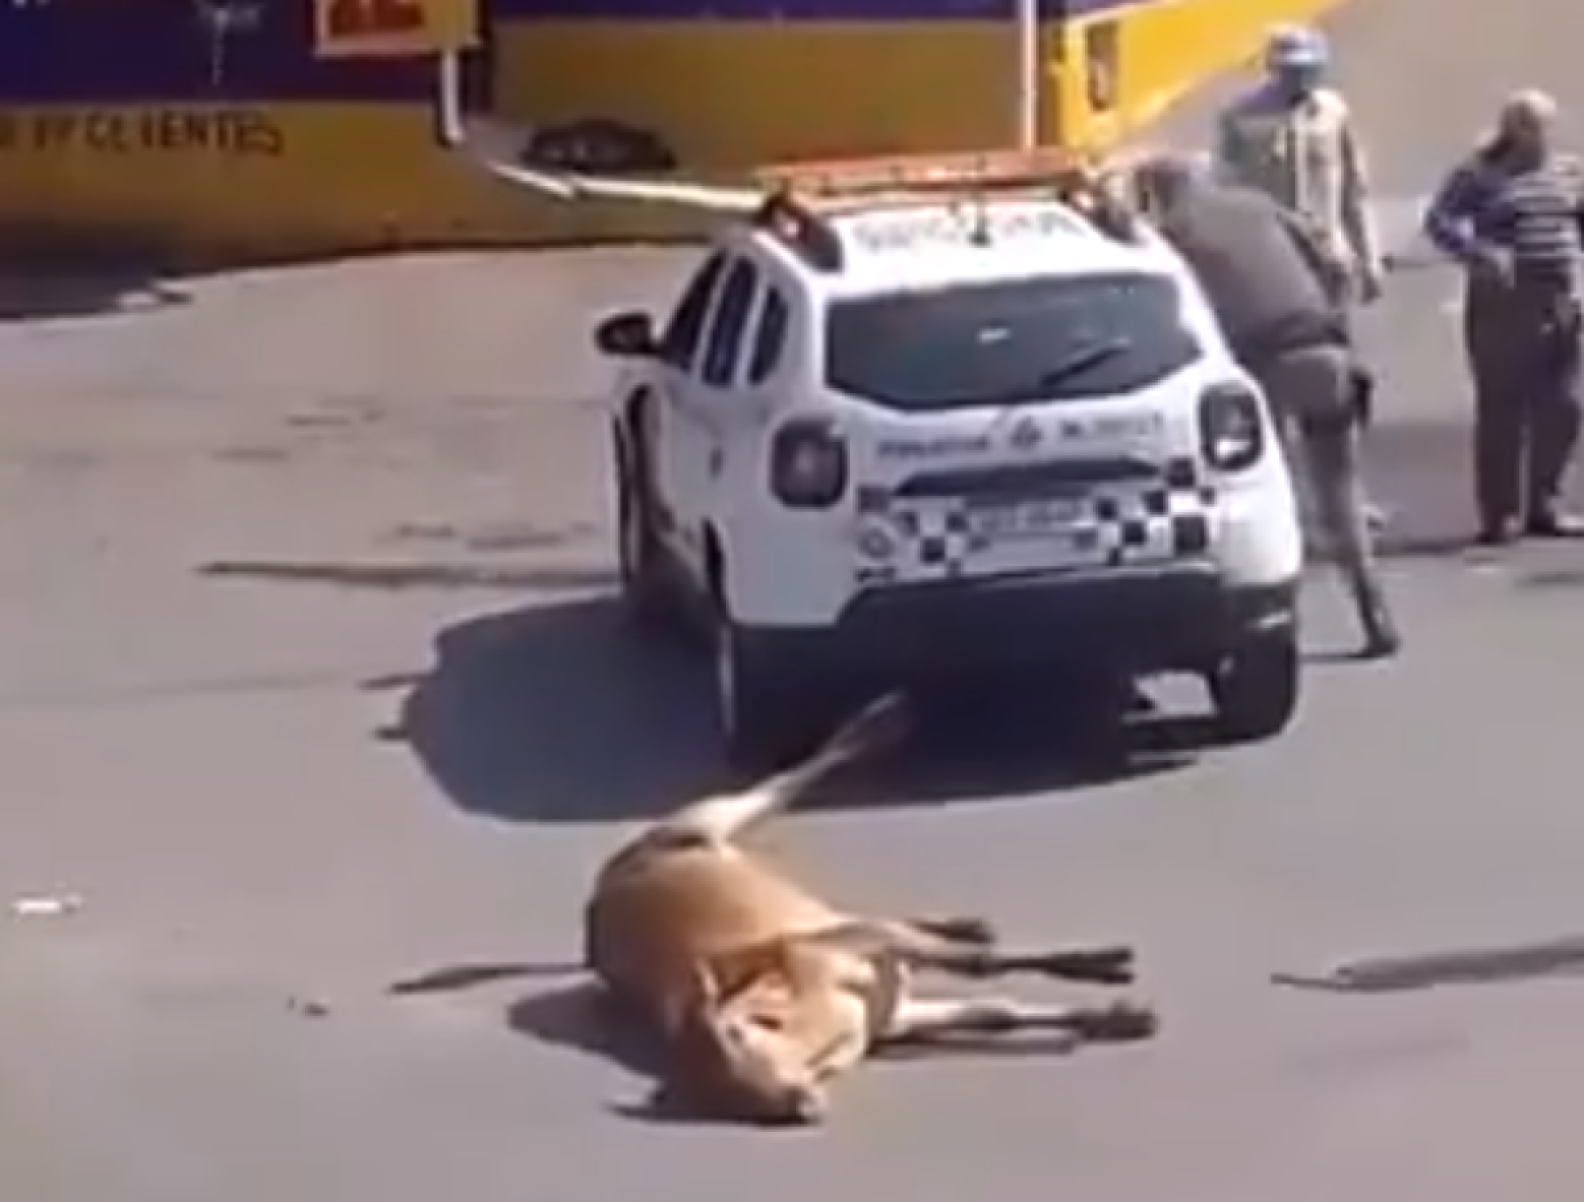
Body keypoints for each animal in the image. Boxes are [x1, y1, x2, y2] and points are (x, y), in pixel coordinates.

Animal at [589, 696, 1159, 1127]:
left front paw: (1105, 966)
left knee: (781, 785)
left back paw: (880, 723)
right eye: (729, 1101)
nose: (801, 1108)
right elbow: (997, 1011)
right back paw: (969, 921)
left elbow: (983, 969)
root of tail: (597, 896)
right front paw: (1120, 1015)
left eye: (741, 1040)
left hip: (705, 821)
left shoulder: (857, 943)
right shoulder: (894, 1012)